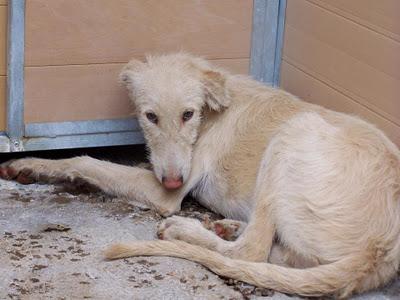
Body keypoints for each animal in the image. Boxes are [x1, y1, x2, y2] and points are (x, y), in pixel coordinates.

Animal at [1, 52, 398, 298]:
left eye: (188, 114)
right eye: (150, 116)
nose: (174, 180)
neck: (214, 108)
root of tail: (383, 246)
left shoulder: (164, 194)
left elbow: (87, 161)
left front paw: (33, 163)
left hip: (294, 133)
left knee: (250, 252)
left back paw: (187, 230)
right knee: (276, 253)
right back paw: (229, 227)